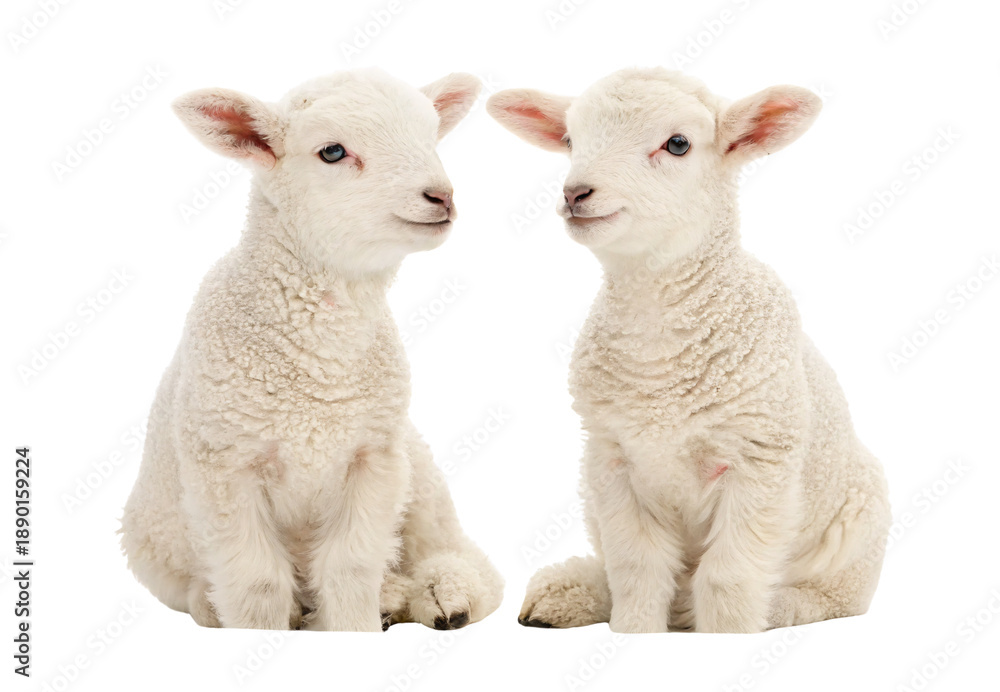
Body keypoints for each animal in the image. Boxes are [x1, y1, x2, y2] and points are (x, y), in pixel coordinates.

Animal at [120, 68, 503, 632]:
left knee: (465, 560)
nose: (441, 196)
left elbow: (351, 568)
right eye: (332, 152)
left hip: (420, 476)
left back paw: (440, 596)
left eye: (431, 139)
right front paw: (259, 636)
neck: (321, 373)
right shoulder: (225, 468)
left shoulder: (373, 459)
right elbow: (257, 585)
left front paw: (357, 629)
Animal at [487, 68, 890, 633]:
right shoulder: (612, 460)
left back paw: (777, 608)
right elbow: (635, 568)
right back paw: (564, 595)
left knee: (833, 598)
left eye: (677, 144)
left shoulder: (759, 460)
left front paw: (728, 634)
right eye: (569, 140)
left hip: (855, 537)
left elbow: (729, 579)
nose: (575, 192)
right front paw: (632, 630)